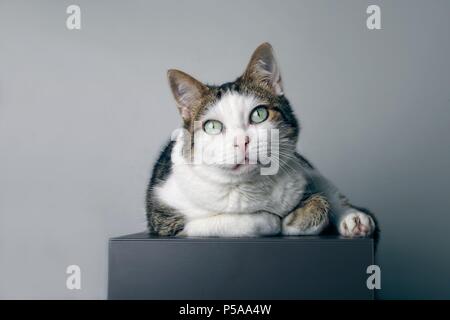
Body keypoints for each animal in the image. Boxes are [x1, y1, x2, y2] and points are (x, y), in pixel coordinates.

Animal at [146, 42, 378, 238]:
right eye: (213, 126)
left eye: (259, 114)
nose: (242, 141)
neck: (252, 187)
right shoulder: (167, 222)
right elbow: (231, 221)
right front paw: (272, 220)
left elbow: (322, 201)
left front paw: (298, 218)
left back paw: (354, 218)